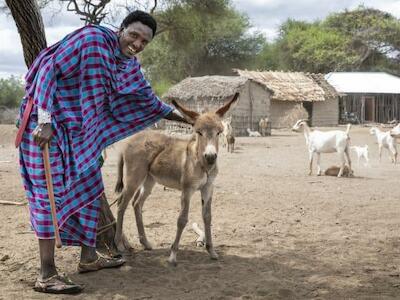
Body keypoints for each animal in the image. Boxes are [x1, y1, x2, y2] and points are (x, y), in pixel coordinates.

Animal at [113, 92, 238, 264]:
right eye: (199, 132)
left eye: (219, 132)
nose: (211, 156)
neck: (201, 163)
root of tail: (130, 140)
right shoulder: (187, 189)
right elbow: (182, 219)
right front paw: (172, 255)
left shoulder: (208, 188)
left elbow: (207, 217)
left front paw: (211, 251)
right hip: (134, 178)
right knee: (121, 205)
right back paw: (119, 244)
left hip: (149, 180)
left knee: (137, 204)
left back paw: (145, 243)